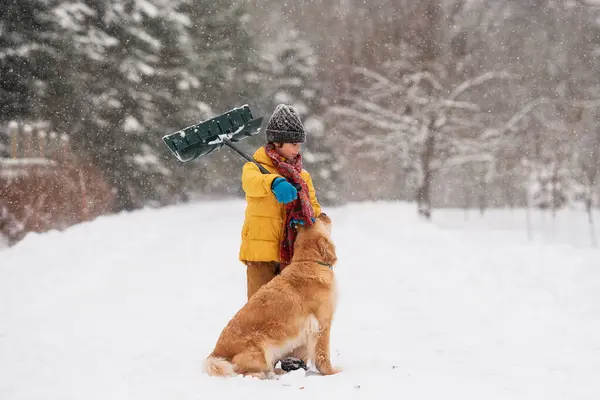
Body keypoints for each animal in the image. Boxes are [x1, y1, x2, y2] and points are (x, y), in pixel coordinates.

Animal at [204, 212, 340, 378]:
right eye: (317, 220)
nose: (323, 213)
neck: (309, 261)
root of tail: (215, 354)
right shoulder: (322, 324)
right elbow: (323, 354)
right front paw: (332, 372)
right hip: (261, 350)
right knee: (244, 372)